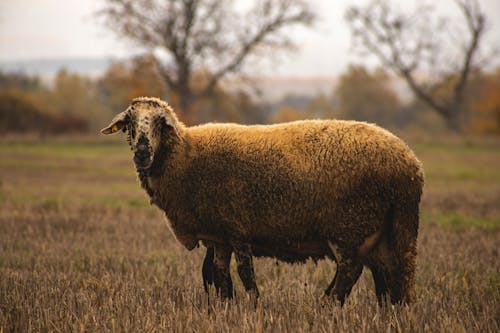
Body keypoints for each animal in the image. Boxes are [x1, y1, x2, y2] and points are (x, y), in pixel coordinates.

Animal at [102, 95, 426, 304]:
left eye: (160, 123)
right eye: (130, 123)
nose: (142, 152)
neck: (186, 156)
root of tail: (410, 165)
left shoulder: (237, 226)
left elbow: (245, 273)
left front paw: (255, 305)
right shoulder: (219, 235)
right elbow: (220, 275)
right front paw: (227, 307)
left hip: (351, 224)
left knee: (350, 270)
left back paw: (326, 306)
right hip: (378, 232)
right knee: (382, 273)